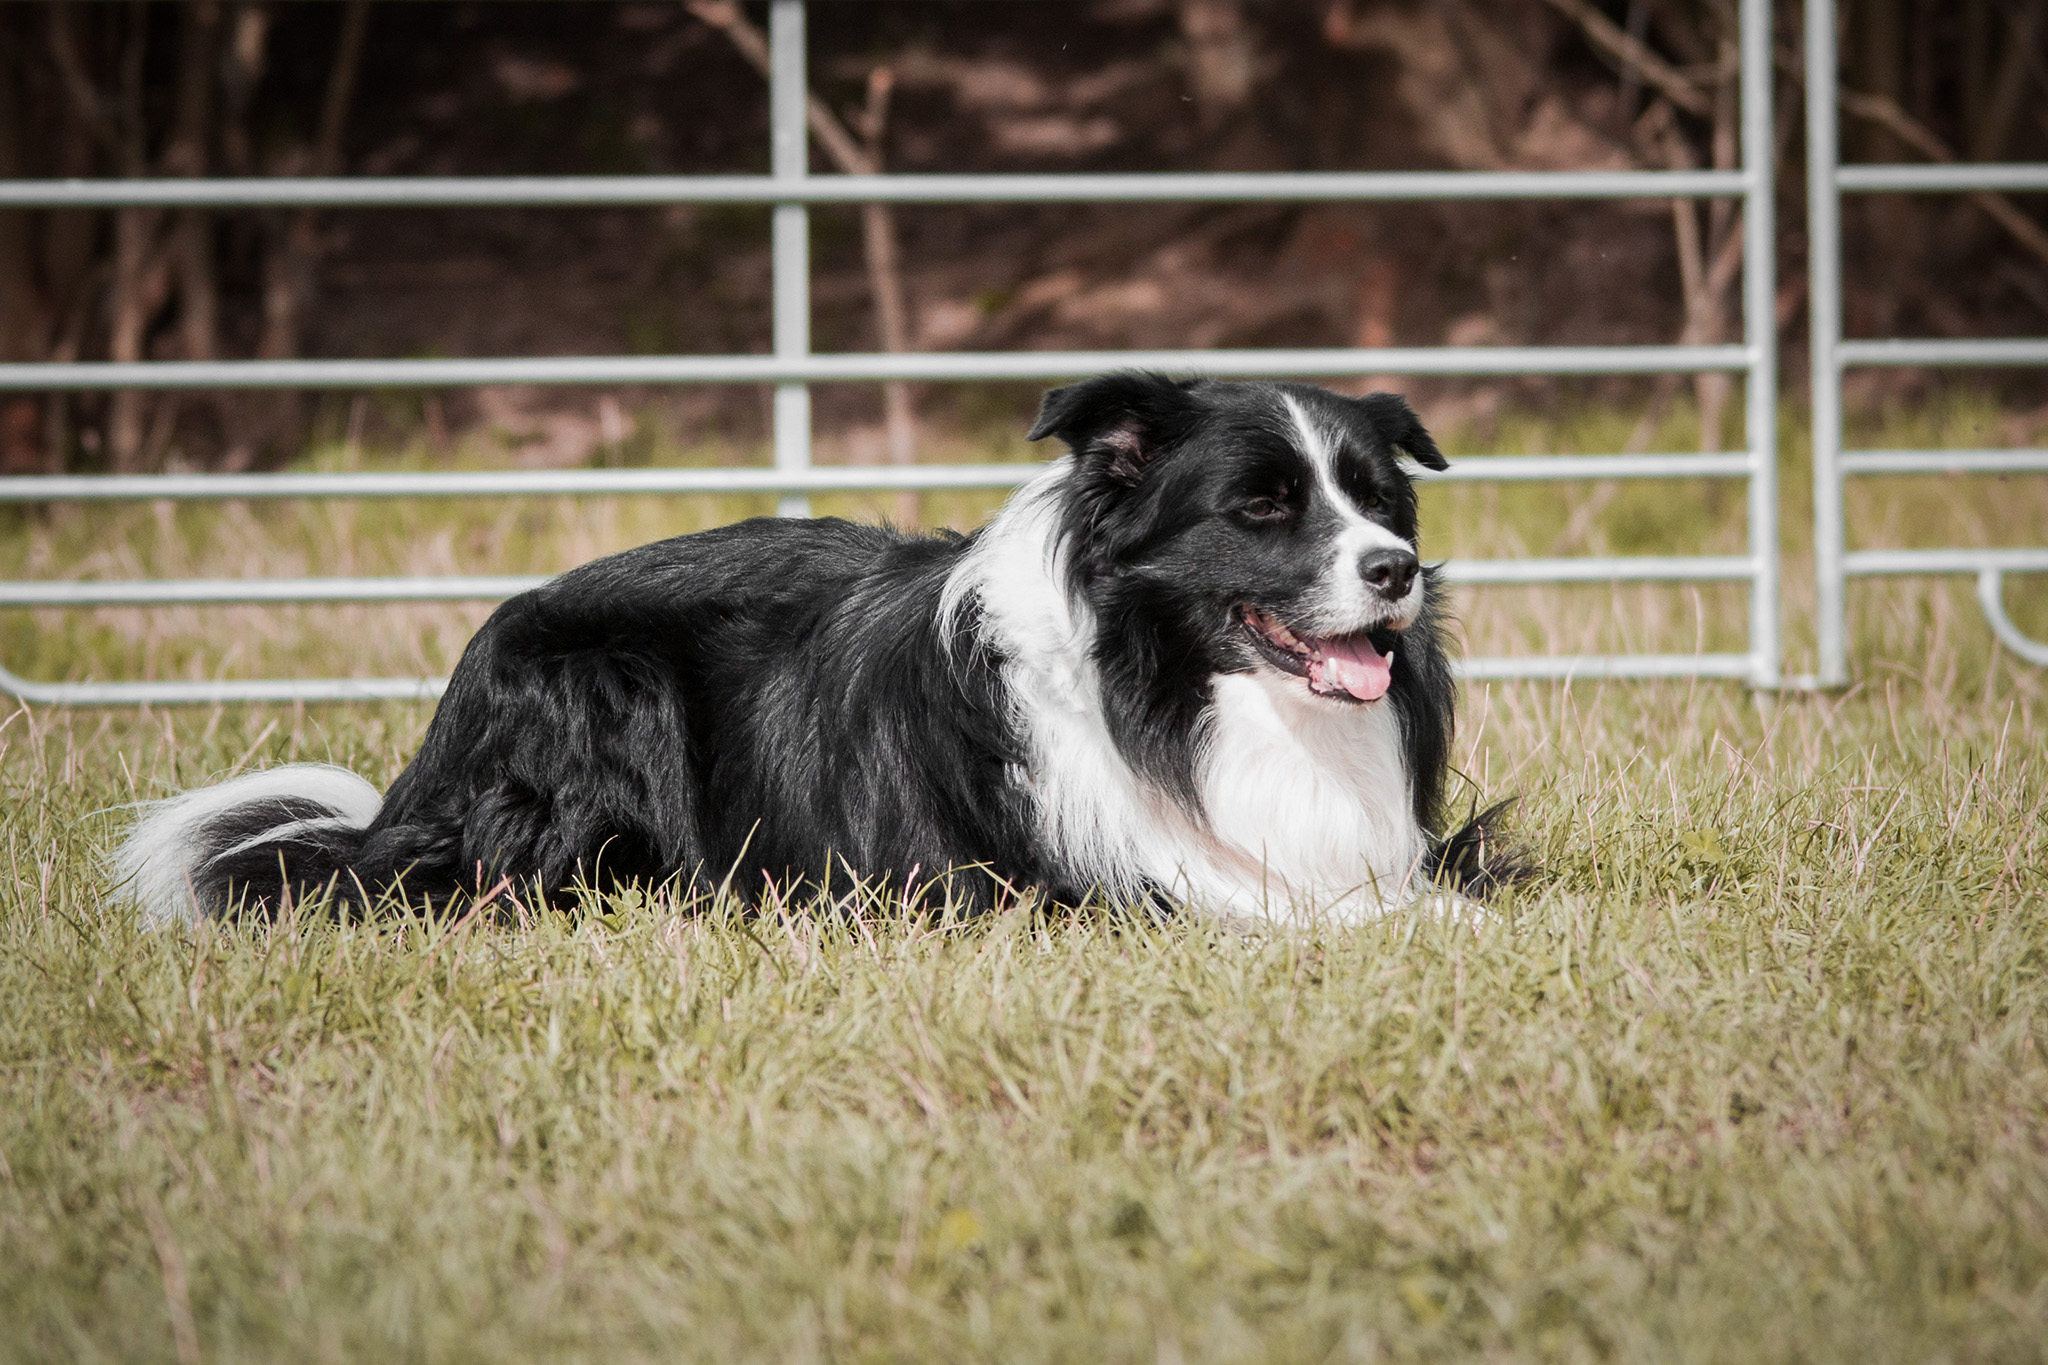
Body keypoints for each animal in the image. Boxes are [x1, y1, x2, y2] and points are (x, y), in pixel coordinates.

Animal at [119, 374, 1515, 929]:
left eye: (1376, 502)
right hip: (600, 684)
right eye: (1260, 508)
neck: (1171, 688)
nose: (1390, 573)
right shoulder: (1080, 888)